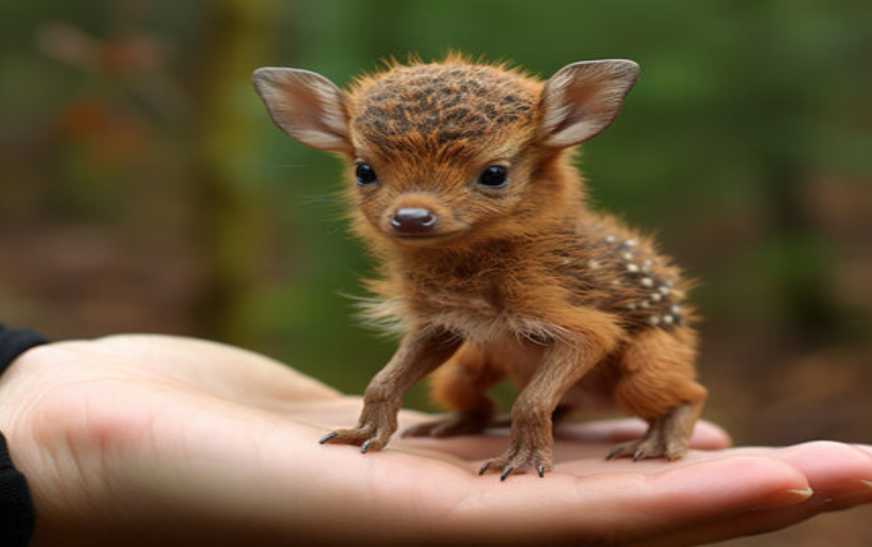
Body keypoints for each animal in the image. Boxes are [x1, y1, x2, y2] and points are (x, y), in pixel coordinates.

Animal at [252, 55, 708, 482]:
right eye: (364, 171)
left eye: (494, 173)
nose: (412, 217)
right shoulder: (443, 322)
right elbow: (383, 381)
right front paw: (361, 435)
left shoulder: (580, 323)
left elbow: (534, 399)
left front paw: (521, 462)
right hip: (469, 367)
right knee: (485, 401)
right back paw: (448, 425)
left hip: (648, 364)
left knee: (690, 393)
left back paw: (656, 444)